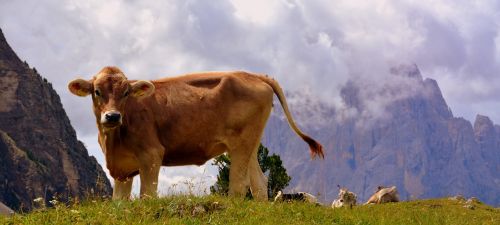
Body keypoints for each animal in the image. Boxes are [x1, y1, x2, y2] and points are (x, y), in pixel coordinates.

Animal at [67, 66, 324, 200]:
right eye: (97, 91)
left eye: (126, 93)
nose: (112, 116)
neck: (113, 141)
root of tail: (251, 74)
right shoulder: (121, 169)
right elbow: (119, 202)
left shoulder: (151, 156)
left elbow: (147, 195)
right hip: (251, 143)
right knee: (259, 183)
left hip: (241, 143)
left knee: (239, 184)